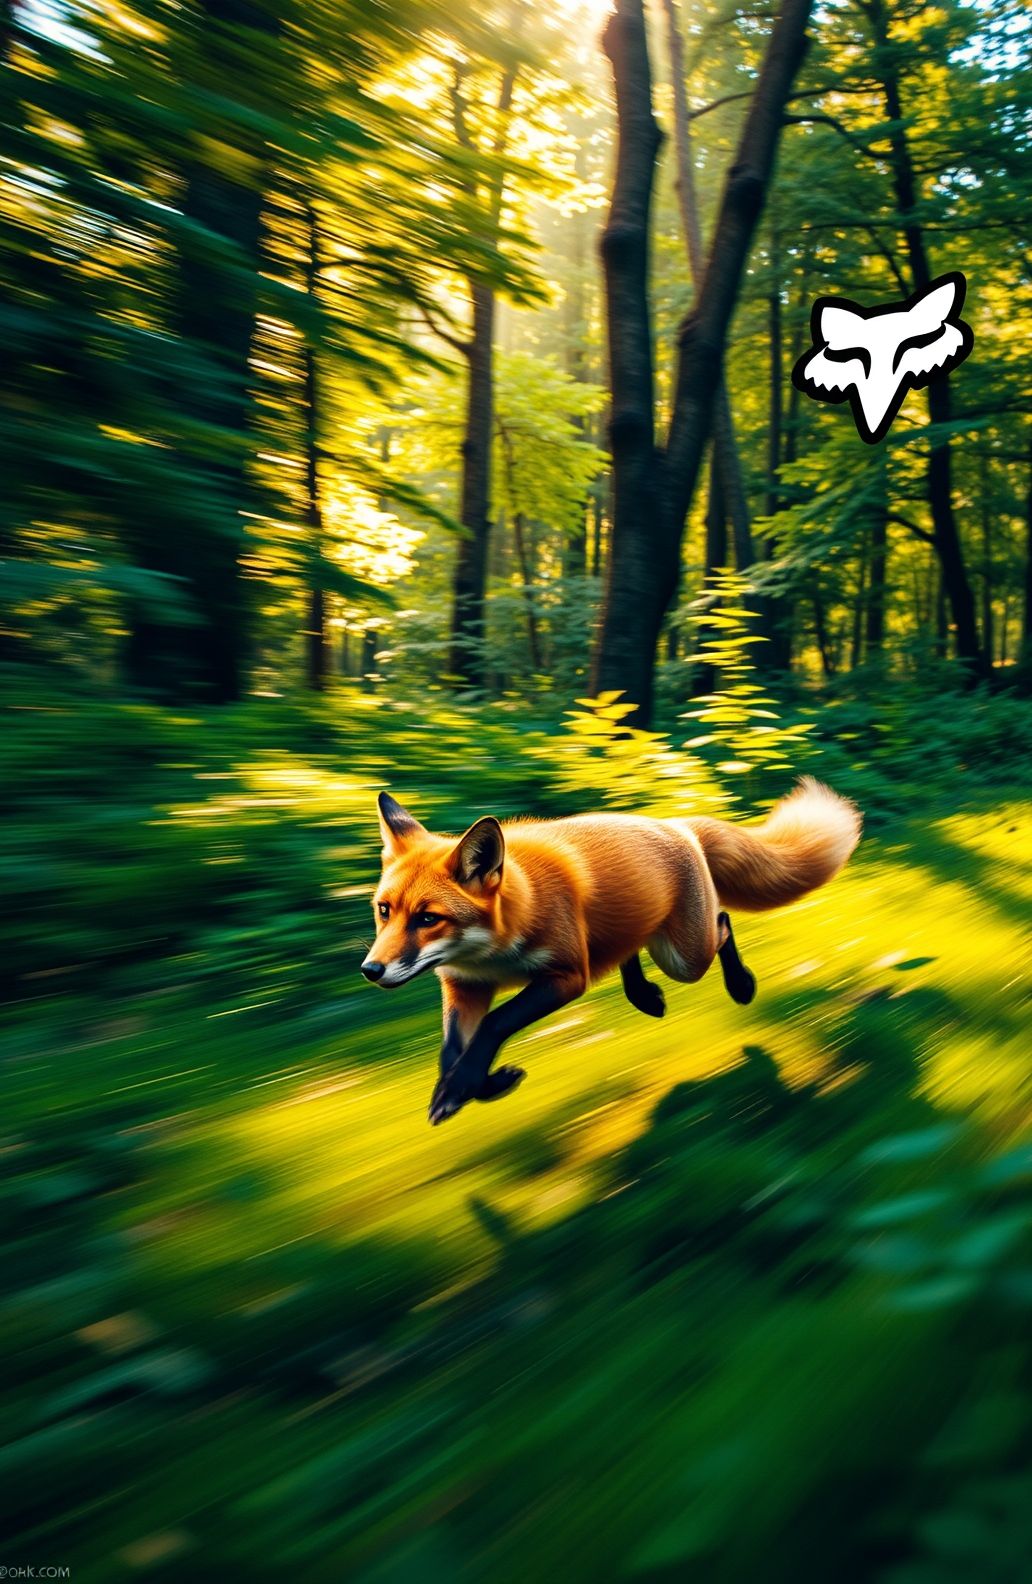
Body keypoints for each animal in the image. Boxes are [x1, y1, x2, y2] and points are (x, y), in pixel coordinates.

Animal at [361, 779, 861, 1126]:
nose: (370, 970)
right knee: (630, 947)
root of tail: (677, 823)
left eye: (428, 918)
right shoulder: (464, 986)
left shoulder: (566, 975)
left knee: (722, 925)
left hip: (684, 956)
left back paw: (740, 984)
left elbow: (494, 1024)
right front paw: (477, 1085)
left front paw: (465, 1086)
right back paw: (644, 995)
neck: (495, 951)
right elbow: (451, 1050)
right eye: (384, 911)